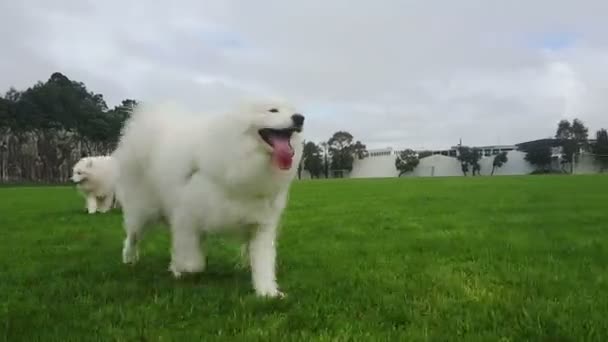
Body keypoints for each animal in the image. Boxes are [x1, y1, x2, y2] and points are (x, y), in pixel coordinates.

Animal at [111, 98, 304, 296]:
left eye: (293, 111)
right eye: (273, 110)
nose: (300, 118)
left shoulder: (261, 226)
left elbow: (264, 263)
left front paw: (267, 292)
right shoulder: (187, 218)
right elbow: (192, 261)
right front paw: (185, 268)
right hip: (143, 212)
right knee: (132, 236)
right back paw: (130, 259)